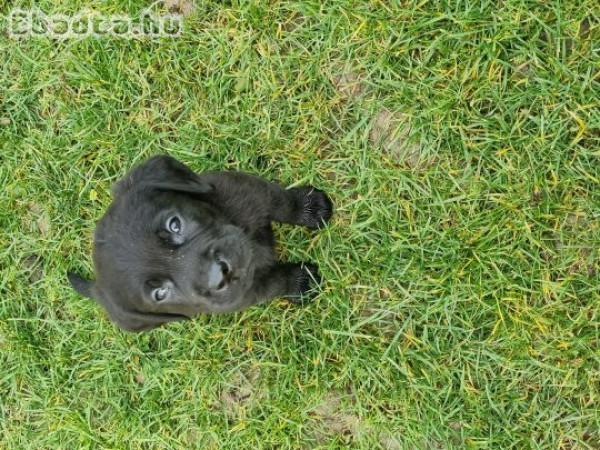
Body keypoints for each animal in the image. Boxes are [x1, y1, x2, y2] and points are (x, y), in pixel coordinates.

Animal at [70, 156, 336, 332]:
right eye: (160, 293)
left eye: (174, 224)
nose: (220, 276)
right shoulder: (245, 293)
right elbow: (274, 282)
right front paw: (299, 281)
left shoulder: (249, 190)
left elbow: (281, 202)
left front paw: (309, 207)